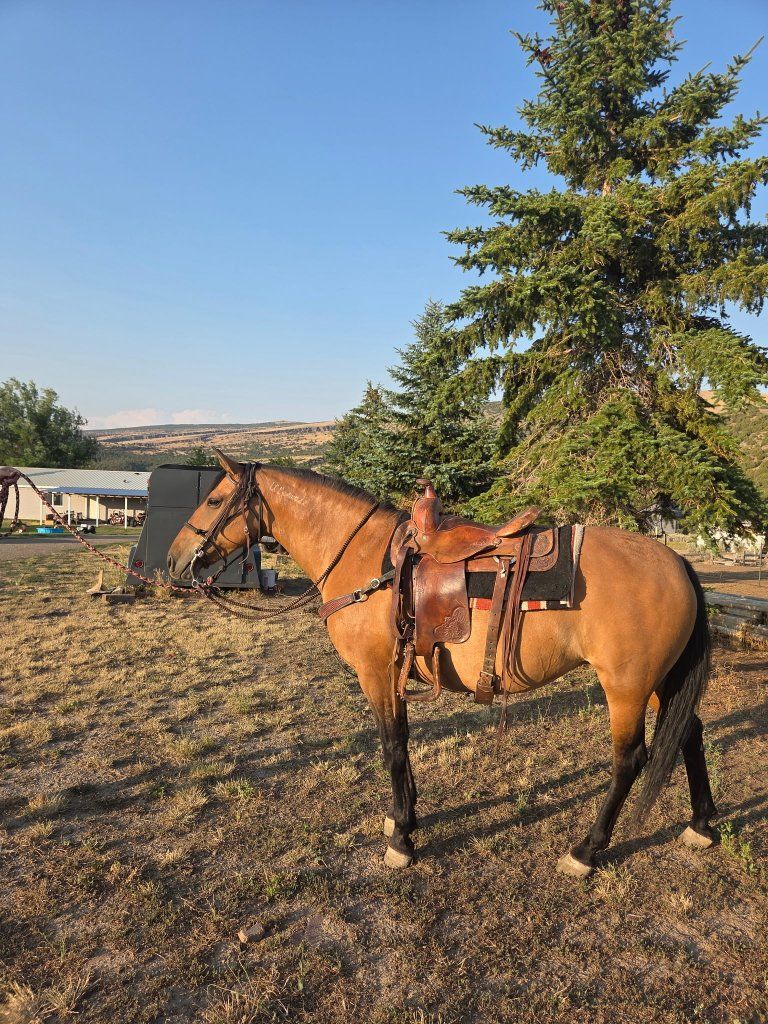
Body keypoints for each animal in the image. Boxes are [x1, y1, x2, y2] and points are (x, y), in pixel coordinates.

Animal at [166, 452, 717, 877]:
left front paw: (401, 842)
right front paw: (404, 818)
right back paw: (701, 824)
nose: (173, 562)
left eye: (213, 500)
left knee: (630, 760)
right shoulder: (394, 675)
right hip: (659, 682)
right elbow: (404, 743)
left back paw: (585, 850)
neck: (367, 560)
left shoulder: (376, 674)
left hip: (625, 687)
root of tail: (677, 563)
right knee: (689, 731)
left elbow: (392, 746)